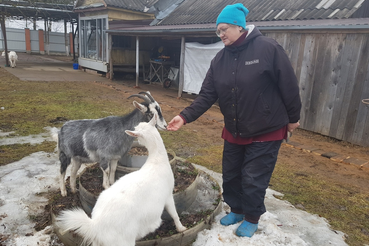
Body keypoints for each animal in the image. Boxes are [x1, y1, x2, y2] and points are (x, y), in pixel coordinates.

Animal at [55, 114, 185, 246]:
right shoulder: (168, 195)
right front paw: (181, 228)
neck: (157, 161)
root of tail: (96, 227)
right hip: (123, 241)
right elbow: (174, 213)